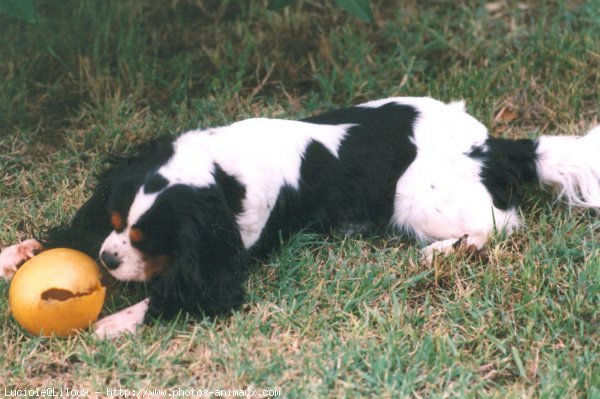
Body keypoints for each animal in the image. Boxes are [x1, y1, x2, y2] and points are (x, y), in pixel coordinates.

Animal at [1, 97, 600, 338]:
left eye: (147, 240)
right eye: (113, 220)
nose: (106, 258)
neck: (222, 172)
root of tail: (495, 146)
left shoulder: (229, 251)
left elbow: (184, 290)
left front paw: (117, 322)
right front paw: (20, 253)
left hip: (412, 195)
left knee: (499, 224)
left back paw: (439, 253)